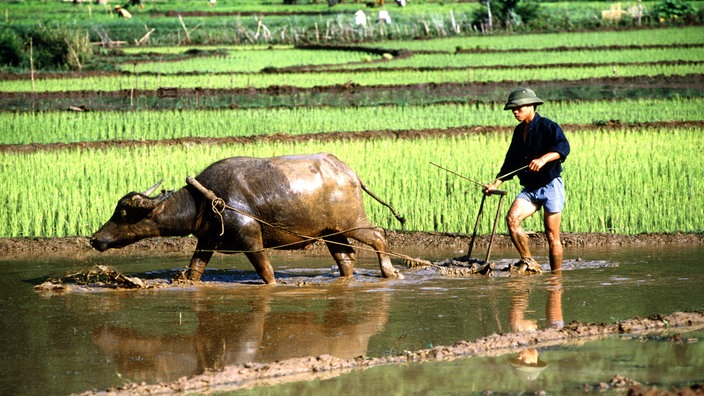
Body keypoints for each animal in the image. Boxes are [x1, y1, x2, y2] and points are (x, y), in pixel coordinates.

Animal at [91, 152, 404, 284]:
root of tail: (350, 173)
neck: (205, 200)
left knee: (378, 235)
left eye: (123, 212)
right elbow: (195, 269)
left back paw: (390, 272)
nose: (95, 239)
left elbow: (266, 272)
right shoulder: (206, 241)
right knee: (346, 258)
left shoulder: (250, 239)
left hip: (352, 222)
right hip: (331, 232)